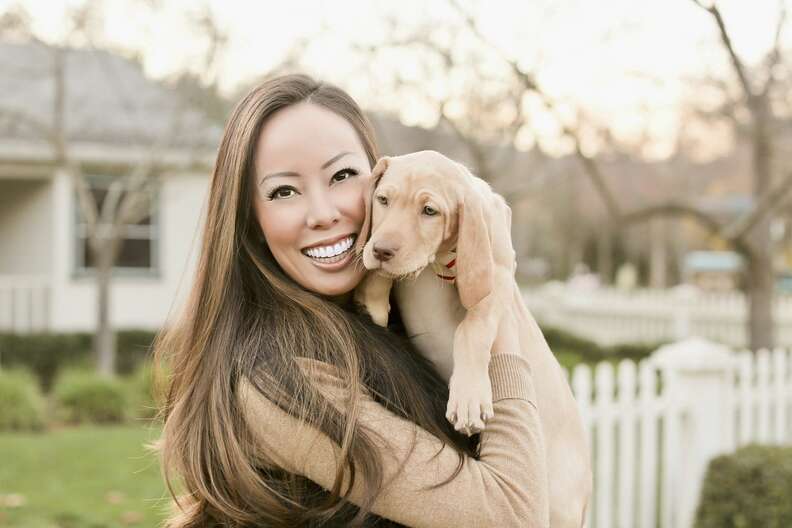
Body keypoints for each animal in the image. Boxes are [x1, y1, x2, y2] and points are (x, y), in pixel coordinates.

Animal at [354, 150, 592, 528]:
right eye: (383, 200)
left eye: (430, 211)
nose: (381, 250)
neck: (436, 264)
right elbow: (382, 276)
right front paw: (373, 297)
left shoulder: (497, 275)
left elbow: (472, 329)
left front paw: (468, 396)